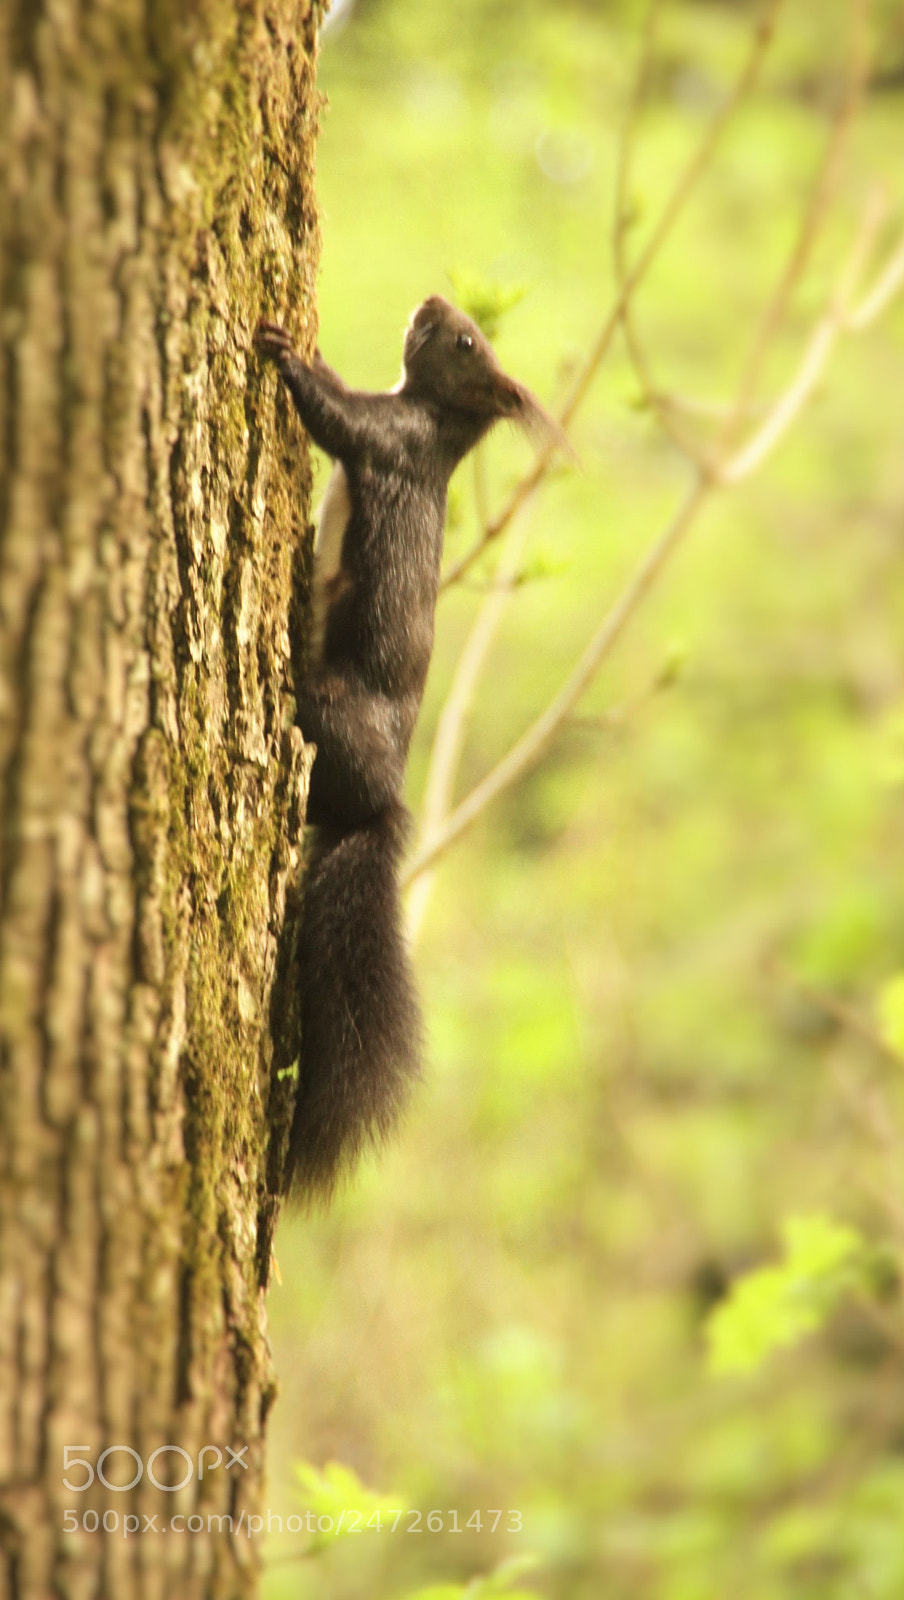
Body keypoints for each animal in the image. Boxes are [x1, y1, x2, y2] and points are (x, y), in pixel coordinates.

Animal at [255, 296, 565, 1201]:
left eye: (465, 341)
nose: (431, 303)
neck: (434, 418)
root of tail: (380, 804)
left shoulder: (389, 438)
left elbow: (335, 417)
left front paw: (290, 353)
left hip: (333, 709)